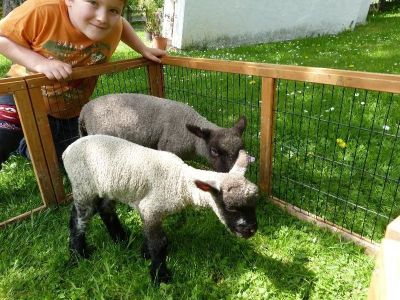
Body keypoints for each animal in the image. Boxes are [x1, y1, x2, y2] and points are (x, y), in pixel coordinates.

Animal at [62, 134, 256, 284]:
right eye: (230, 207)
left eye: (254, 203)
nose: (251, 230)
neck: (180, 182)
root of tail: (67, 150)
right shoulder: (151, 209)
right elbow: (159, 243)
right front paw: (160, 277)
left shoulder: (150, 211)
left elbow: (151, 237)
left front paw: (144, 254)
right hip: (83, 185)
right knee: (78, 220)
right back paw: (78, 256)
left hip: (107, 186)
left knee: (105, 209)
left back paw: (121, 239)